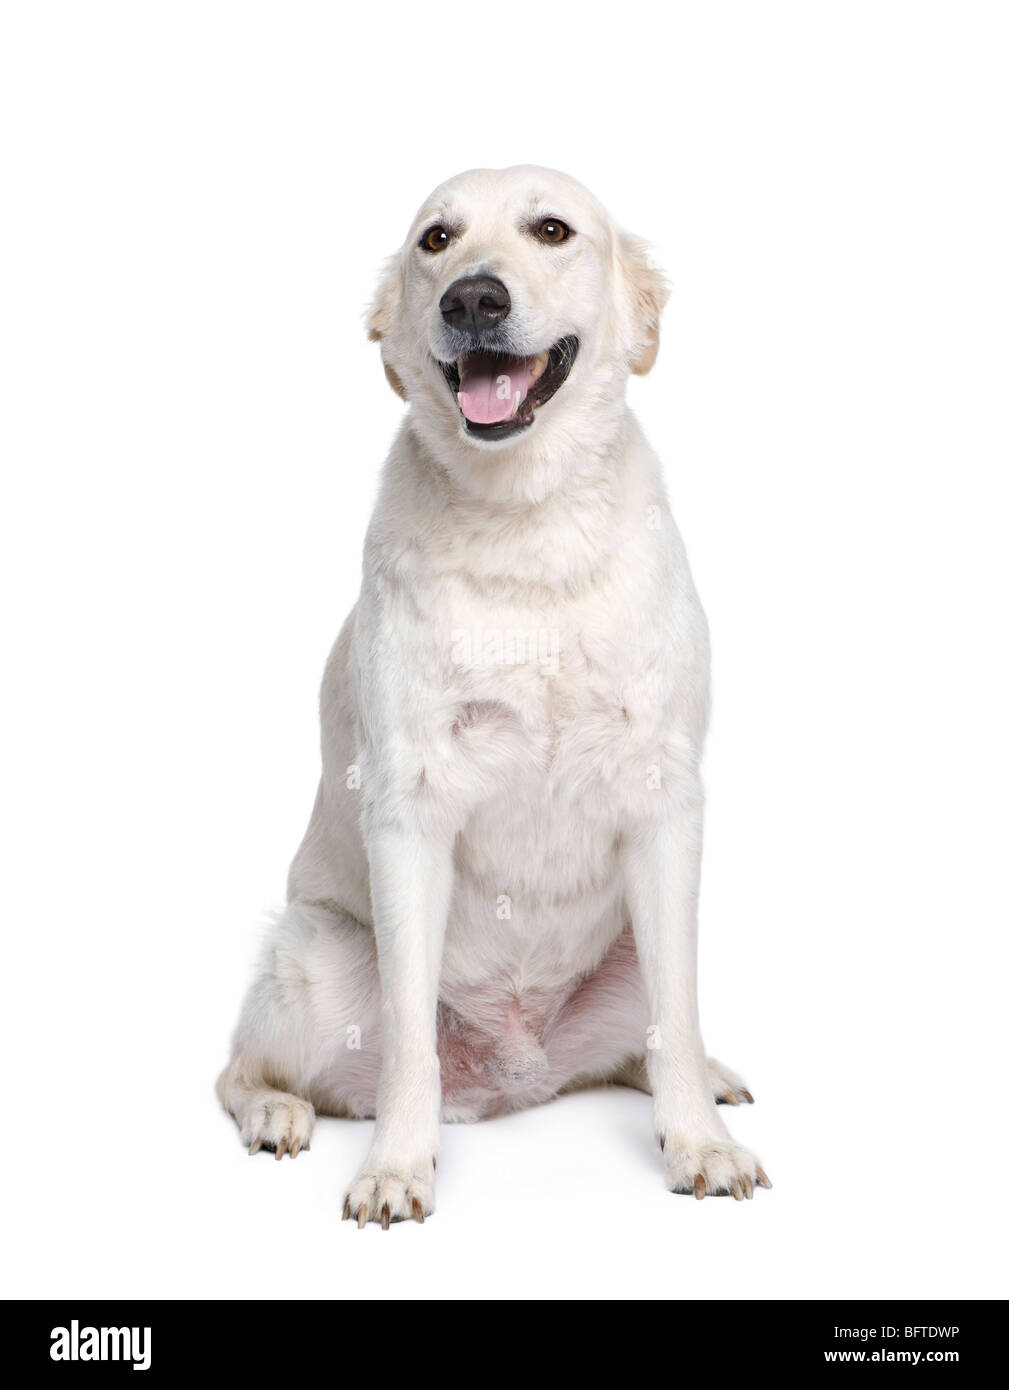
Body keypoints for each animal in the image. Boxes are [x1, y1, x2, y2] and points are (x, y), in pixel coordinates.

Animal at [216, 165, 772, 1228]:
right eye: (436, 240)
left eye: (550, 230)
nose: (472, 298)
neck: (527, 519)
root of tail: (518, 1075)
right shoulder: (410, 809)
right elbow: (407, 1050)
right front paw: (396, 1166)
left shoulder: (665, 802)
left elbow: (675, 1027)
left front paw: (698, 1146)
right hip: (318, 967)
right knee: (239, 1067)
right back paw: (275, 1112)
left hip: (633, 951)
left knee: (647, 1039)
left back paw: (710, 1083)